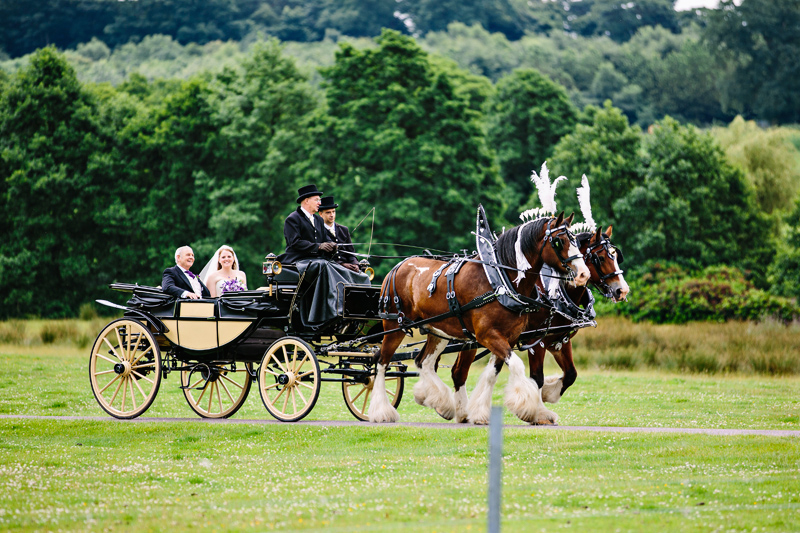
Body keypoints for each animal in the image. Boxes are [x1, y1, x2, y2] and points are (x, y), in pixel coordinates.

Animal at [368, 212, 588, 424]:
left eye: (576, 241)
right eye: (559, 241)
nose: (583, 274)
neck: (499, 281)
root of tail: (398, 266)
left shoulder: (510, 337)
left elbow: (493, 373)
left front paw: (480, 413)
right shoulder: (488, 335)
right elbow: (518, 366)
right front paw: (529, 408)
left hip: (437, 330)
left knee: (425, 362)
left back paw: (442, 403)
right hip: (394, 326)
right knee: (382, 361)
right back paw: (381, 412)